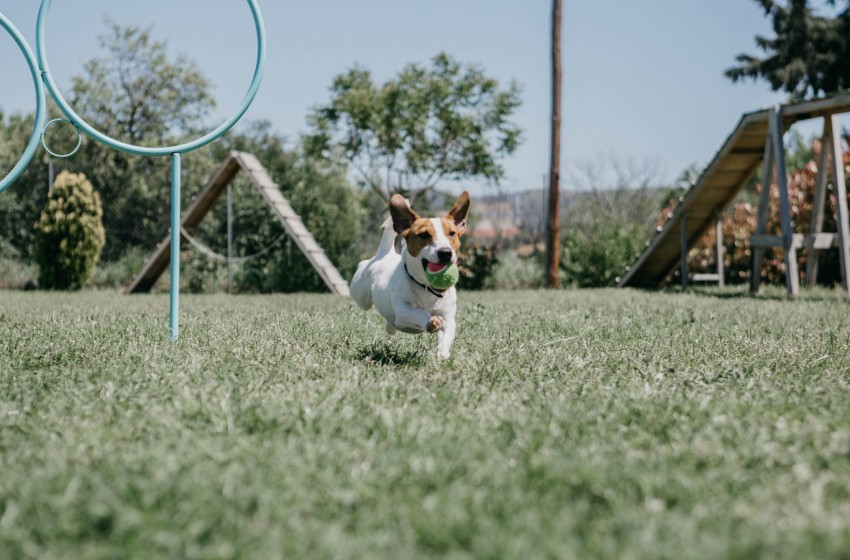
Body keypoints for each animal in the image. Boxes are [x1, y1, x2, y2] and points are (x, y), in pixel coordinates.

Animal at [350, 192, 470, 358]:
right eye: (424, 235)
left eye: (452, 233)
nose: (446, 252)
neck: (426, 288)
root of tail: (384, 254)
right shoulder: (403, 310)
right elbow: (418, 312)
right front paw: (430, 321)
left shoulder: (448, 316)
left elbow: (447, 332)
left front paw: (442, 355)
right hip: (362, 297)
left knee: (391, 325)